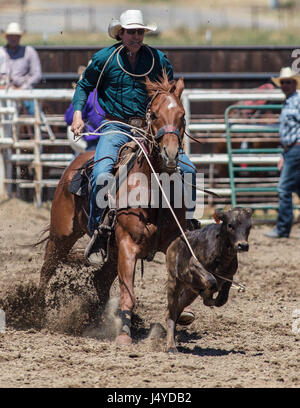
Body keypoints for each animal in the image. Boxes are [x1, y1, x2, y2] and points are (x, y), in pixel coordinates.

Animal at [35, 72, 190, 344]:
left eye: (181, 115)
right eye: (154, 115)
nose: (170, 154)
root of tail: (74, 165)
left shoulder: (172, 241)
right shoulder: (127, 244)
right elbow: (129, 293)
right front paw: (124, 337)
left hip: (111, 249)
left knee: (99, 281)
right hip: (62, 235)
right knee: (47, 268)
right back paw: (33, 312)